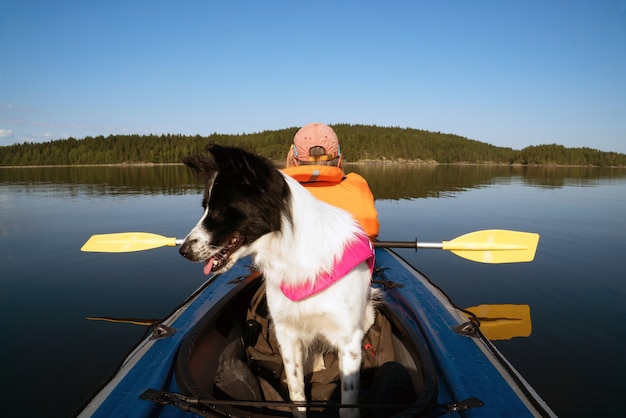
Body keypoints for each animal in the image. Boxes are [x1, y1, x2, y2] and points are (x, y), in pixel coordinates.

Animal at [178, 145, 378, 416]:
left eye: (219, 209)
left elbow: (347, 404)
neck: (294, 255)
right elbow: (296, 392)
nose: (183, 251)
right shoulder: (287, 334)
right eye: (205, 208)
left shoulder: (348, 339)